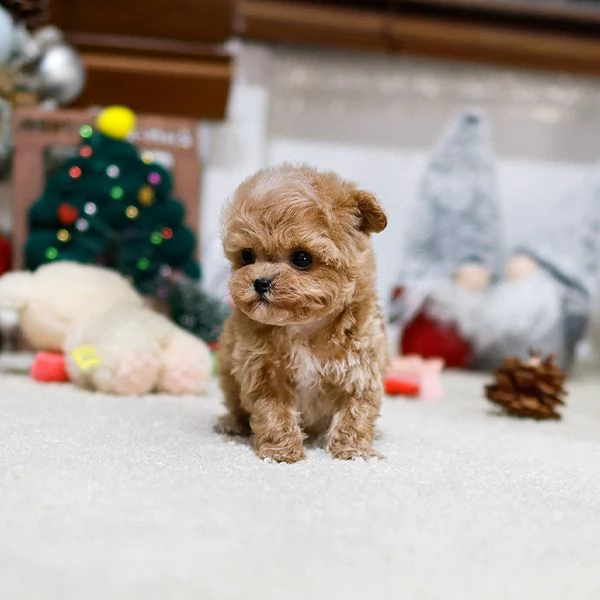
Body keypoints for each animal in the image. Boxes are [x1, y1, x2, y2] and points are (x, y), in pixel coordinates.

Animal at [216, 164, 390, 464]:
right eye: (247, 256)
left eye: (302, 258)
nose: (260, 282)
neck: (304, 327)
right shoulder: (263, 371)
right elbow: (274, 412)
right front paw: (282, 452)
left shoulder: (361, 366)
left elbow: (356, 411)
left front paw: (353, 452)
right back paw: (231, 424)